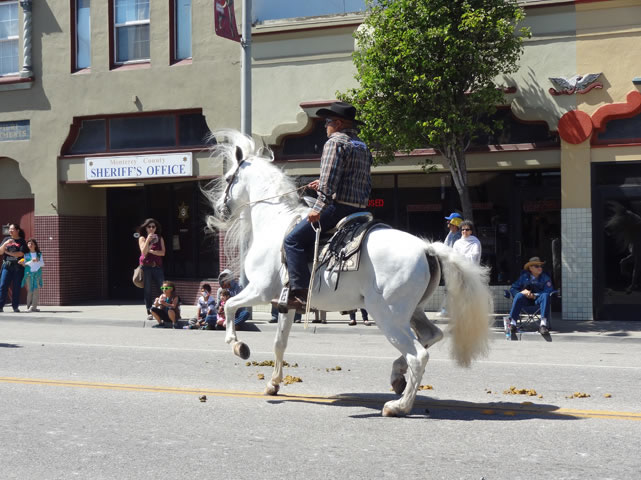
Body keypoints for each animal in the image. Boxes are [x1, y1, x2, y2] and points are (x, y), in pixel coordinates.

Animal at [203, 130, 493, 417]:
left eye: (229, 178)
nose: (221, 209)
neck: (273, 222)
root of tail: (426, 247)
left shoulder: (261, 290)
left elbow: (229, 305)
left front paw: (238, 345)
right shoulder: (287, 303)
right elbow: (279, 342)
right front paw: (273, 384)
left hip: (387, 315)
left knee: (418, 354)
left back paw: (399, 406)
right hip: (413, 312)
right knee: (431, 336)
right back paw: (397, 377)